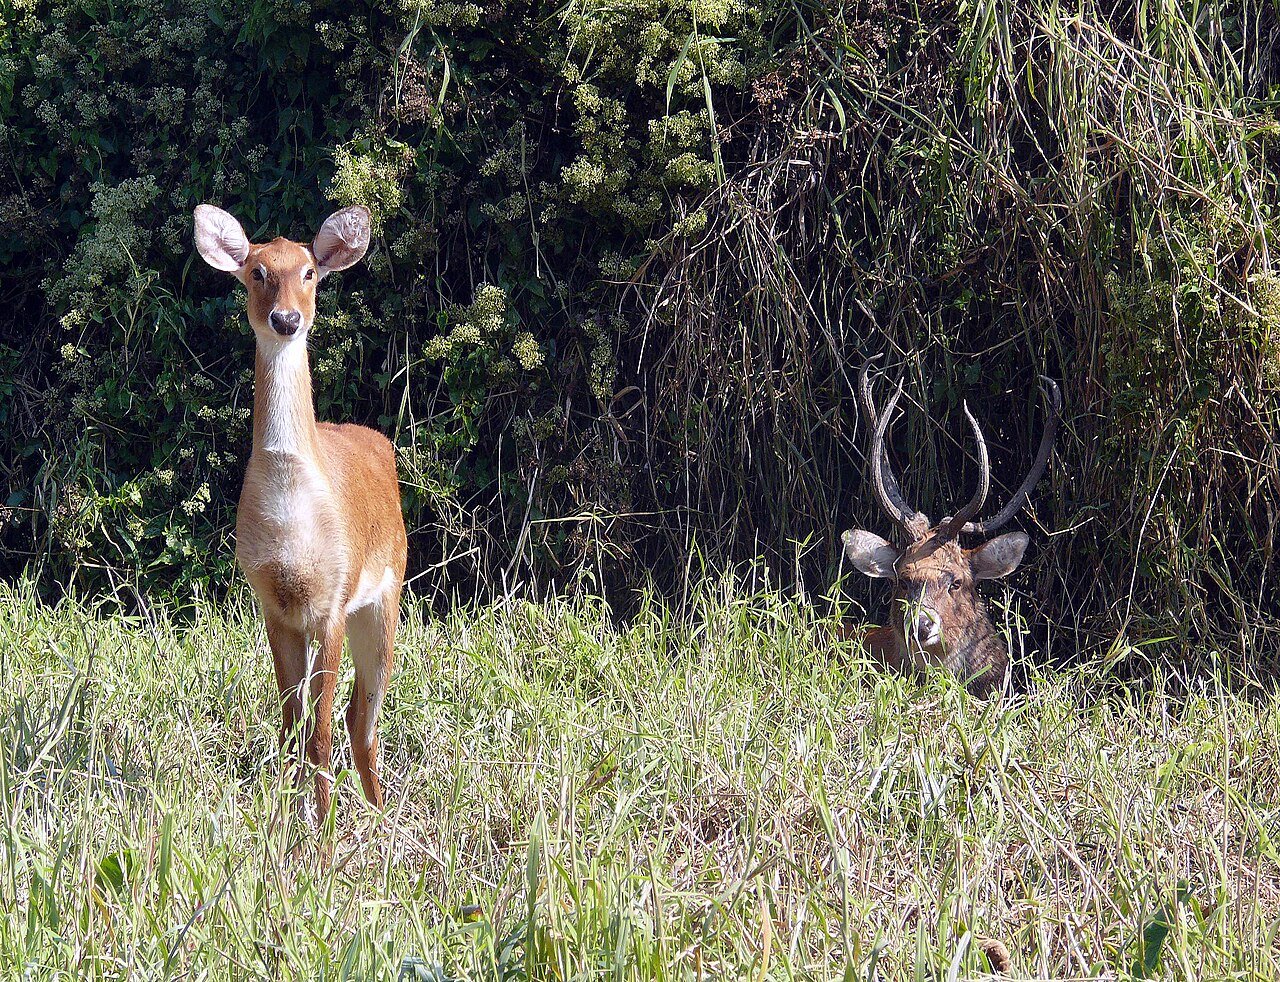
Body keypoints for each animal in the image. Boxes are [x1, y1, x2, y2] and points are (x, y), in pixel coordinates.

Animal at [193, 203, 407, 829]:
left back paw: (380, 822)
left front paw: (325, 839)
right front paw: (285, 824)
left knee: (365, 720)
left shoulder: (333, 599)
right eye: (257, 271)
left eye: (310, 272)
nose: (286, 319)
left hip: (386, 596)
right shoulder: (274, 604)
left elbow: (321, 736)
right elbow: (291, 726)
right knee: (353, 719)